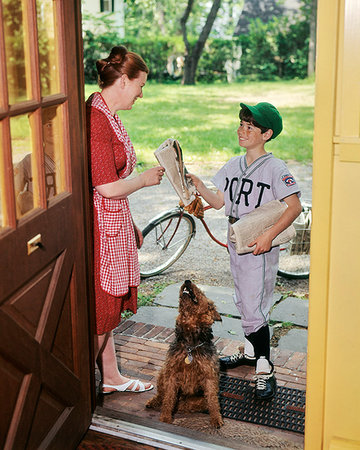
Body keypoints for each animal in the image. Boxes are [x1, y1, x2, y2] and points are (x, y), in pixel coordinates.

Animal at [145, 278, 224, 428]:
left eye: (201, 292)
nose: (187, 281)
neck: (190, 345)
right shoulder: (172, 374)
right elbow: (168, 399)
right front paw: (165, 418)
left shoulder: (209, 376)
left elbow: (213, 400)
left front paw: (216, 419)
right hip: (163, 372)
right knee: (162, 396)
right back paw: (153, 402)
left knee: (192, 405)